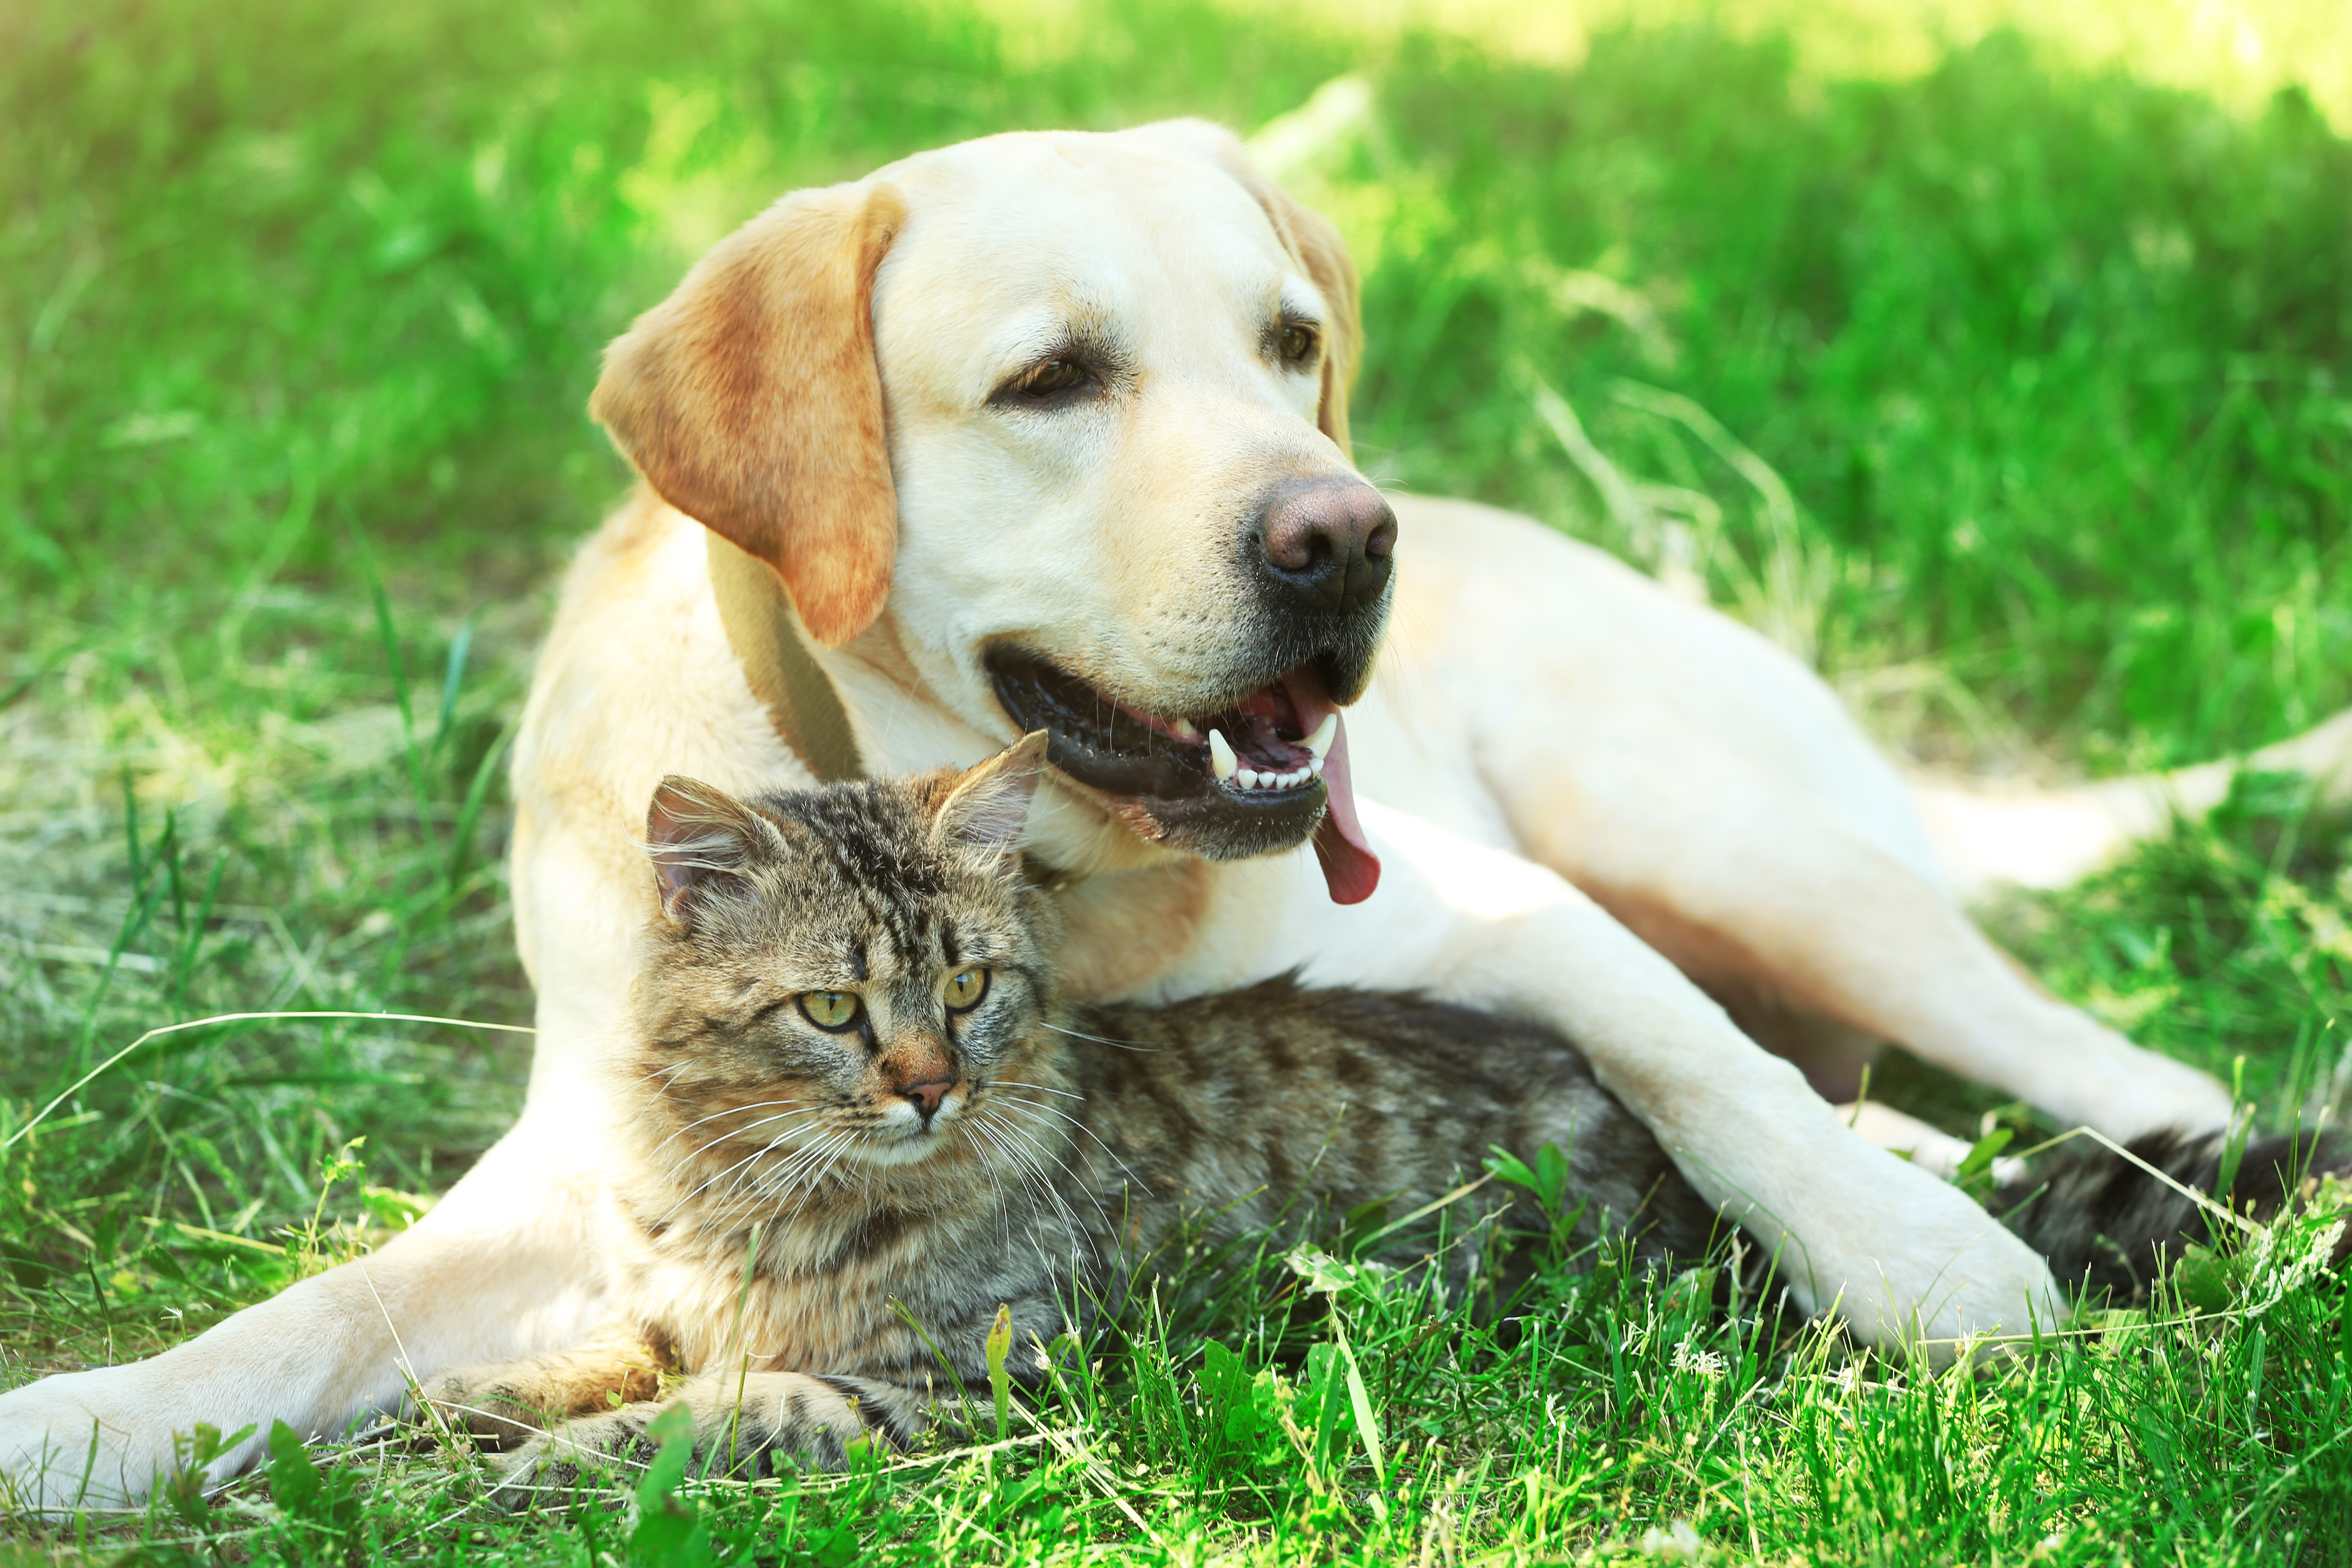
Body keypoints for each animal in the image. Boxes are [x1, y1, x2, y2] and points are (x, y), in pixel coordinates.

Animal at [428, 738, 2352, 1486]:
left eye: (965, 986)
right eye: (835, 1006)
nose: (929, 1081)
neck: (741, 1185)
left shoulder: (959, 1385)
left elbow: (717, 1412)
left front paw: (531, 1465)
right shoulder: (663, 1303)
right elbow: (581, 1362)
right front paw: (458, 1418)